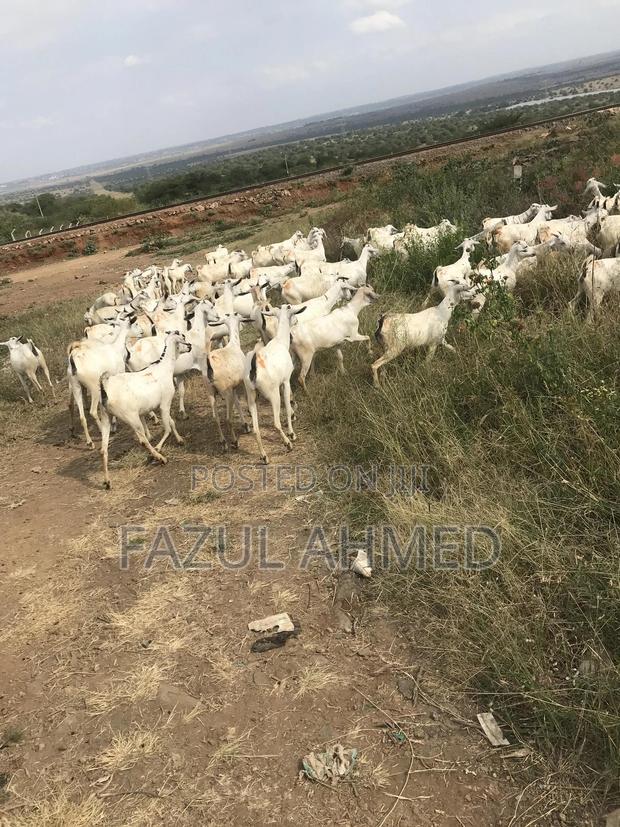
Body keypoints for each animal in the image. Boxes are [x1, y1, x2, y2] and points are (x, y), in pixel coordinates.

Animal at [99, 332, 191, 489]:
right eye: (182, 339)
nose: (190, 346)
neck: (163, 367)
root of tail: (106, 388)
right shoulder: (165, 403)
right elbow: (167, 428)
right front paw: (159, 448)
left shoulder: (157, 406)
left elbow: (171, 422)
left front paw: (180, 440)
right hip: (132, 418)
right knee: (142, 440)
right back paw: (160, 458)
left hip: (106, 418)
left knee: (103, 449)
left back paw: (107, 481)